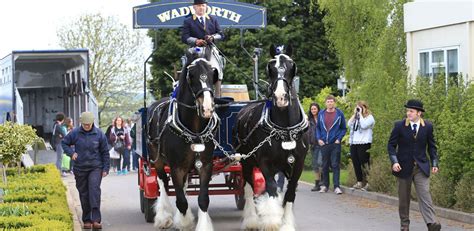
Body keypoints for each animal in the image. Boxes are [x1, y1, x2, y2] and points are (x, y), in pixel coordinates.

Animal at [148, 46, 218, 230]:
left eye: (212, 73)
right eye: (191, 75)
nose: (207, 108)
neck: (194, 130)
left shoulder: (205, 165)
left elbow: (203, 199)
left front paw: (201, 225)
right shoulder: (175, 167)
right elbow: (181, 201)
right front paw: (184, 223)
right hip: (157, 160)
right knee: (163, 184)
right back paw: (163, 217)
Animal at [232, 44, 308, 230]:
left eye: (292, 66)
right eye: (270, 68)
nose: (281, 97)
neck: (285, 130)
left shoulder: (298, 164)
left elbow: (289, 193)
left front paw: (286, 223)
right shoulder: (265, 163)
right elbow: (272, 189)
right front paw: (273, 221)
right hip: (246, 161)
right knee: (248, 188)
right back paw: (252, 220)